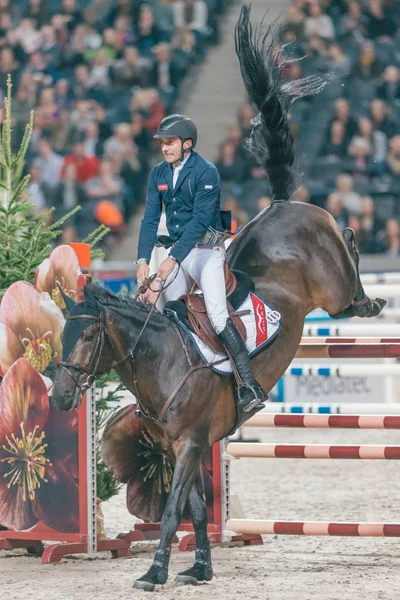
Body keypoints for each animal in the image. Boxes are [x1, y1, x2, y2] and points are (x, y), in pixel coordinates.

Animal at [50, 7, 384, 592]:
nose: (64, 397)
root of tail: (279, 205)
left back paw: (372, 301)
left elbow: (171, 511)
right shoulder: (182, 444)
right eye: (64, 332)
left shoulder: (188, 443)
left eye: (89, 334)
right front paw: (200, 567)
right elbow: (198, 508)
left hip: (334, 286)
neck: (159, 361)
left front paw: (154, 572)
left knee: (346, 248)